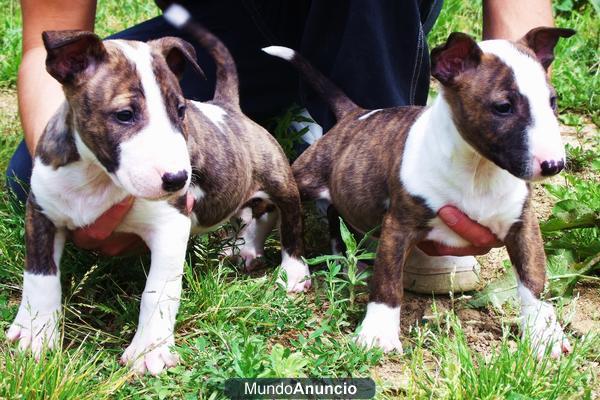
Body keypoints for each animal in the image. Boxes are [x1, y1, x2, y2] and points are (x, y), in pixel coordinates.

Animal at [8, 11, 310, 376]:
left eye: (180, 111)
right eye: (124, 115)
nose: (178, 179)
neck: (97, 176)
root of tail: (227, 108)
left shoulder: (170, 223)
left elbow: (158, 290)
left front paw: (148, 350)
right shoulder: (42, 212)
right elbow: (40, 276)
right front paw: (36, 334)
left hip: (279, 177)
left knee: (289, 217)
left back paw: (293, 271)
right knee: (259, 212)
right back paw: (248, 248)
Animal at [264, 28, 576, 360]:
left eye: (552, 101)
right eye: (503, 107)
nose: (554, 165)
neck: (479, 171)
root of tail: (355, 115)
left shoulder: (522, 224)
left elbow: (533, 279)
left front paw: (545, 336)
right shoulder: (399, 224)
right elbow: (388, 280)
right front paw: (378, 334)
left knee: (335, 211)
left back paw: (344, 257)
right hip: (308, 175)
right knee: (289, 207)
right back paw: (293, 269)